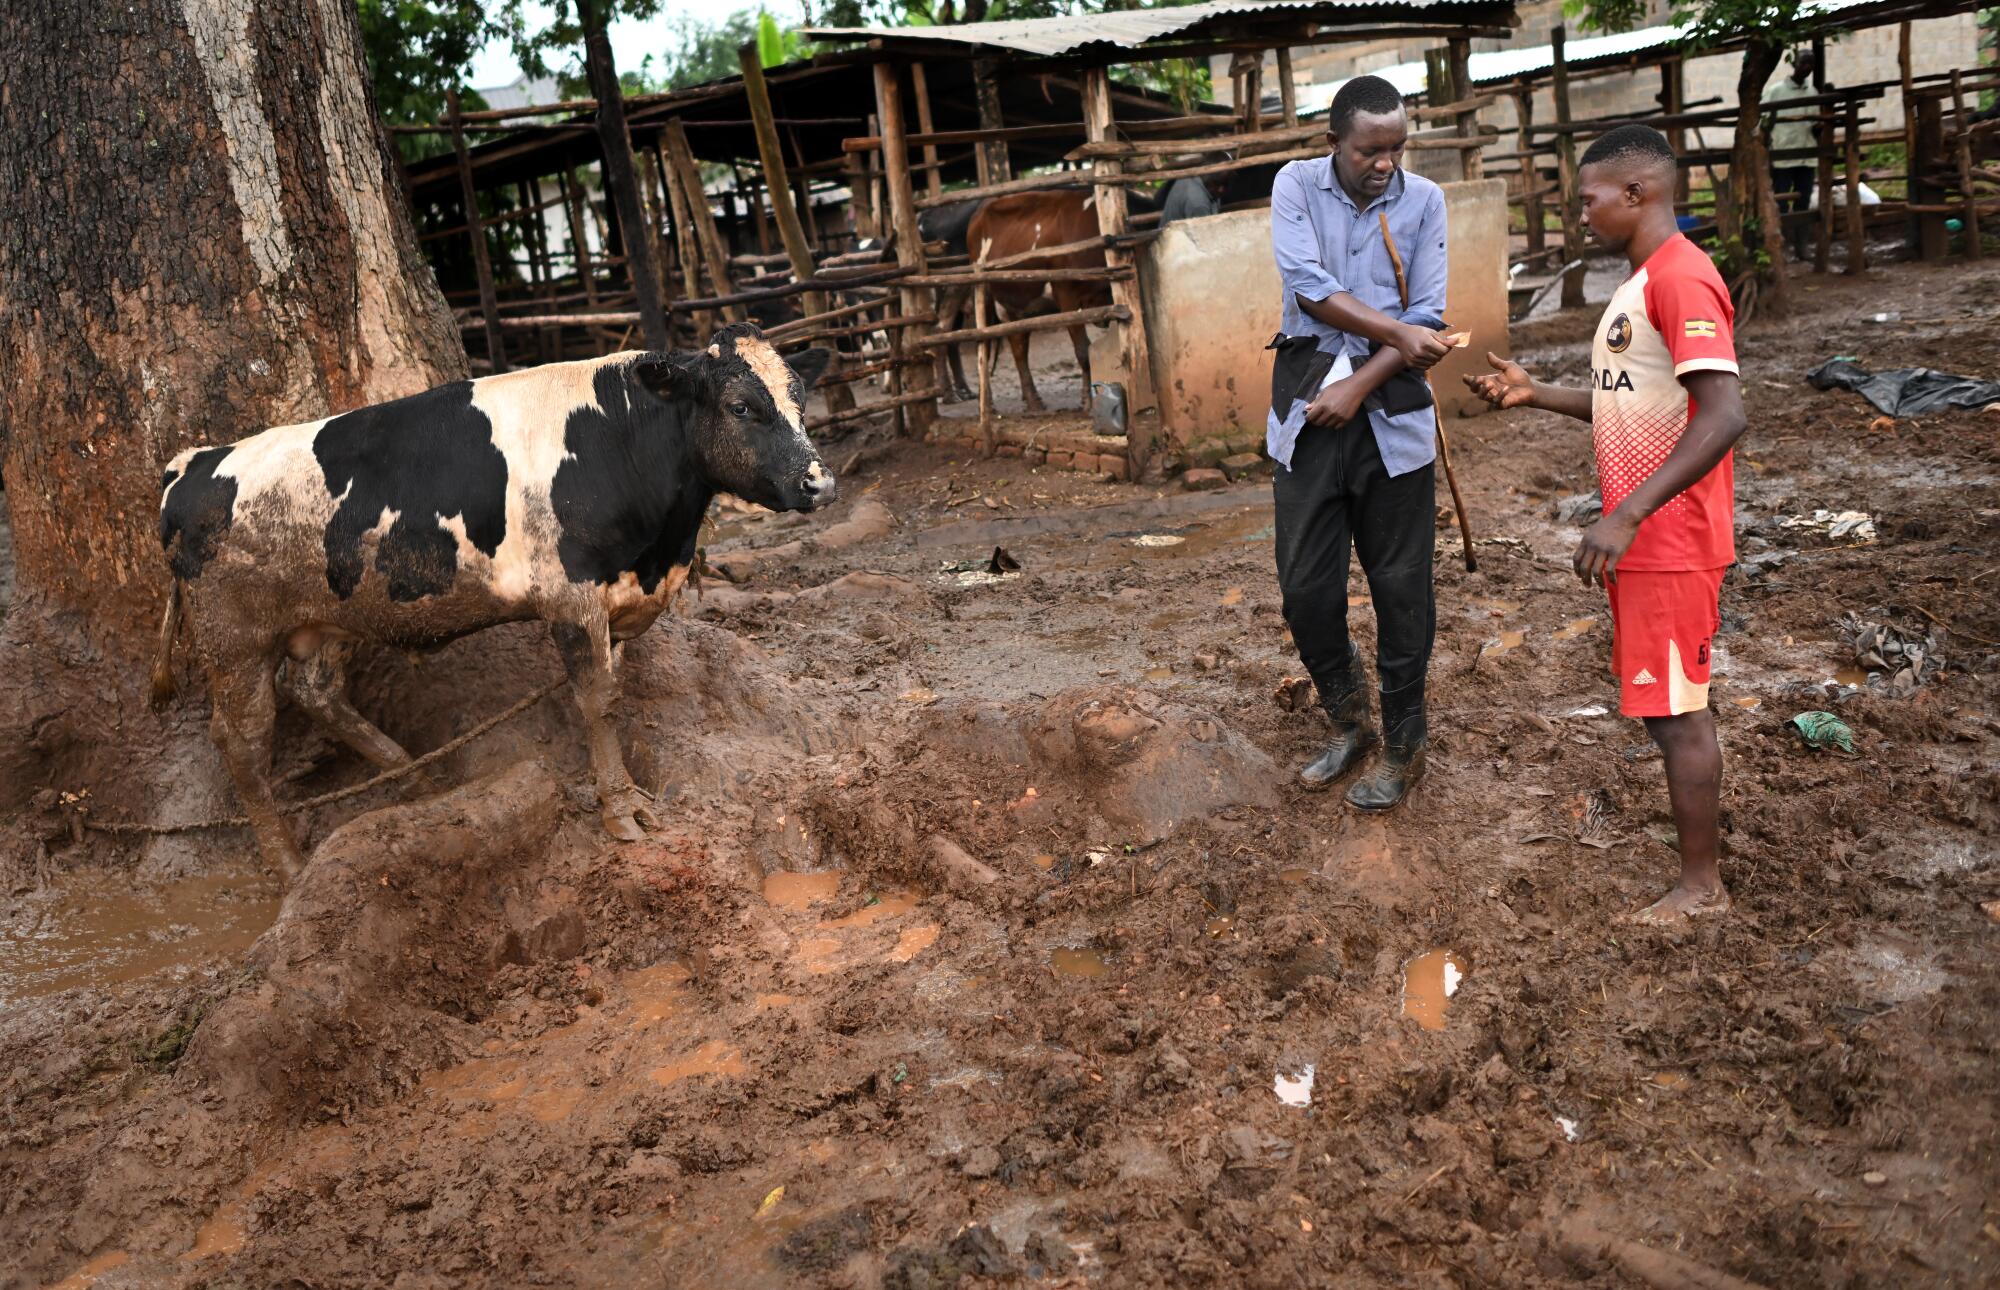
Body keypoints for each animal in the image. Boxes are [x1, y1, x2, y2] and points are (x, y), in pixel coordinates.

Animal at [152, 322, 832, 876]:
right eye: (742, 406)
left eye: (800, 399)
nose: (820, 482)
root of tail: (193, 463)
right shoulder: (572, 598)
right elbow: (598, 701)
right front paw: (621, 811)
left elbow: (615, 688)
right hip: (234, 642)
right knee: (242, 741)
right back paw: (288, 861)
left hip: (331, 616)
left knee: (316, 691)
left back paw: (418, 777)